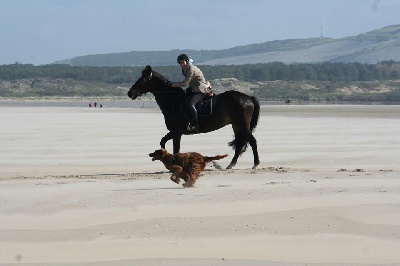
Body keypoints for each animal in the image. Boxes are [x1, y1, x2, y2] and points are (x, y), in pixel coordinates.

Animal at [126, 65, 260, 169]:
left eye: (143, 80)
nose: (130, 93)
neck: (172, 102)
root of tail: (248, 98)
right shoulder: (174, 131)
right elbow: (163, 141)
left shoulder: (177, 132)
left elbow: (176, 149)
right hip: (236, 125)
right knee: (239, 144)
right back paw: (231, 164)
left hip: (242, 124)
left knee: (252, 141)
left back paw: (255, 164)